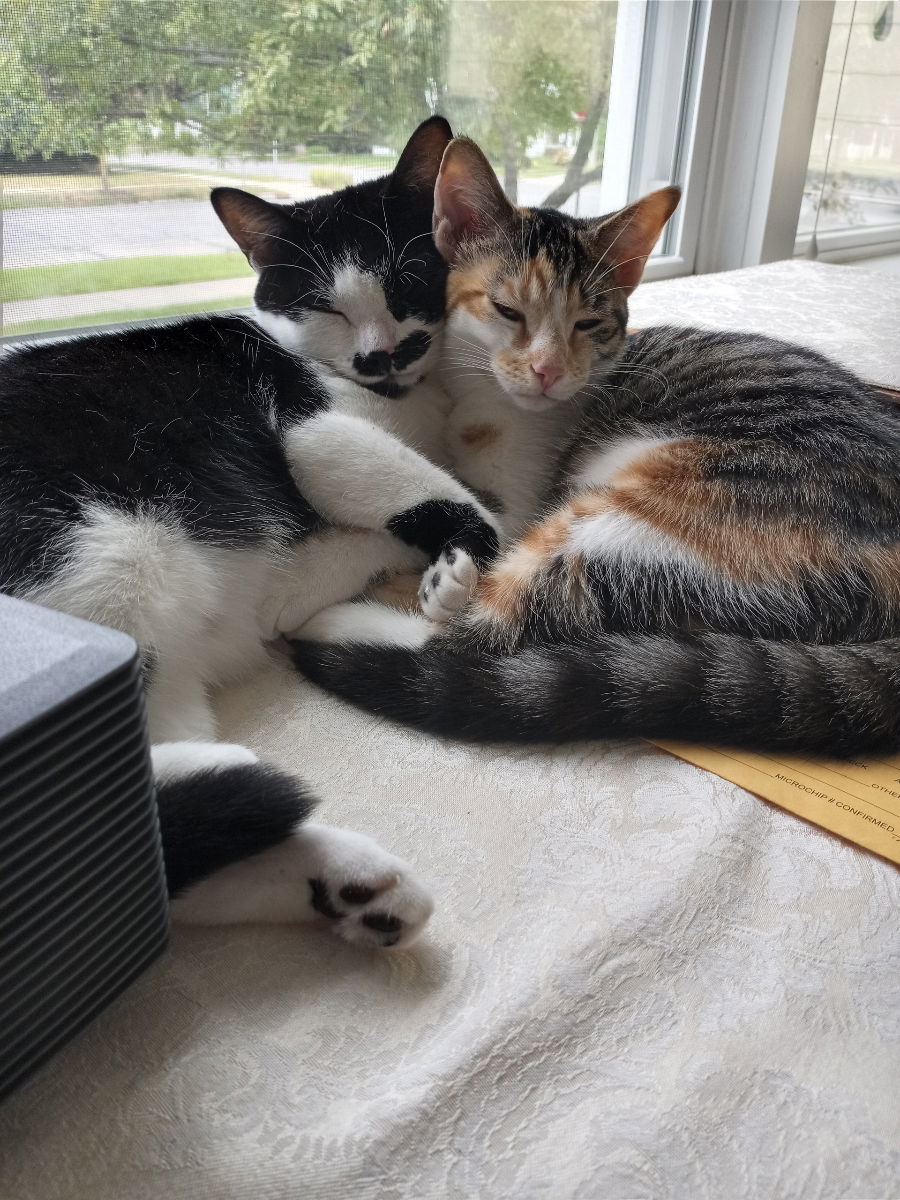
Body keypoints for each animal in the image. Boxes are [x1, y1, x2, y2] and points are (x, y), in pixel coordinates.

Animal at [0, 121, 501, 945]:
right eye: (326, 307)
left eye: (405, 279)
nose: (382, 355)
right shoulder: (314, 430)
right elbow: (443, 498)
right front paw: (456, 559)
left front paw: (305, 587)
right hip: (111, 560)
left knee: (156, 870)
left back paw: (352, 887)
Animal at [294, 136, 900, 753]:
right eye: (507, 310)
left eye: (589, 323)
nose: (549, 371)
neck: (478, 403)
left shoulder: (520, 500)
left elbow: (467, 519)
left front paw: (438, 573)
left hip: (647, 509)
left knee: (483, 636)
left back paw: (337, 623)